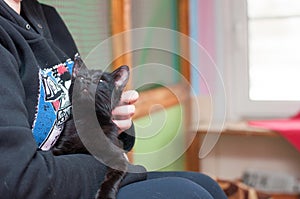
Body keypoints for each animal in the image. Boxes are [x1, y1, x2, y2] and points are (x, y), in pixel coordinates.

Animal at [51, 55, 145, 199]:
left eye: (101, 80)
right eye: (81, 77)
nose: (86, 81)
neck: (88, 120)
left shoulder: (118, 159)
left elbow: (111, 180)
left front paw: (105, 195)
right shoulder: (60, 148)